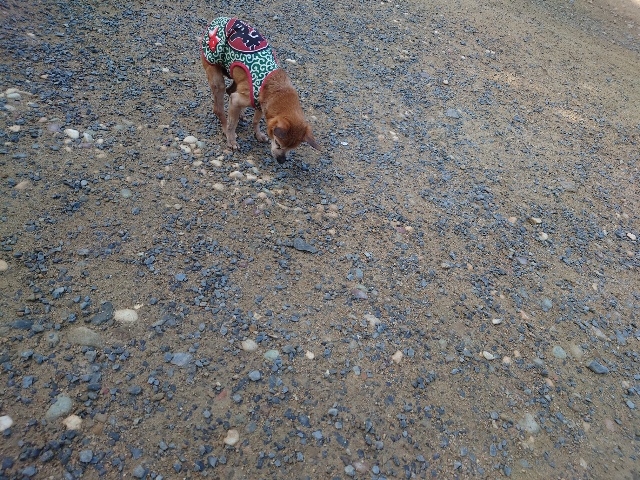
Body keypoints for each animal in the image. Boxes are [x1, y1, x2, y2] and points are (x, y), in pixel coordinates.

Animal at [201, 17, 319, 163]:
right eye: (278, 144)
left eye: (292, 149)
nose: (281, 161)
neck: (278, 90)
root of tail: (217, 19)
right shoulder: (237, 100)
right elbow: (232, 124)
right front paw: (231, 140)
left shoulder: (260, 106)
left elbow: (256, 121)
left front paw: (258, 134)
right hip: (217, 79)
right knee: (219, 108)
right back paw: (225, 128)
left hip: (234, 76)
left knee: (230, 91)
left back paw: (241, 113)